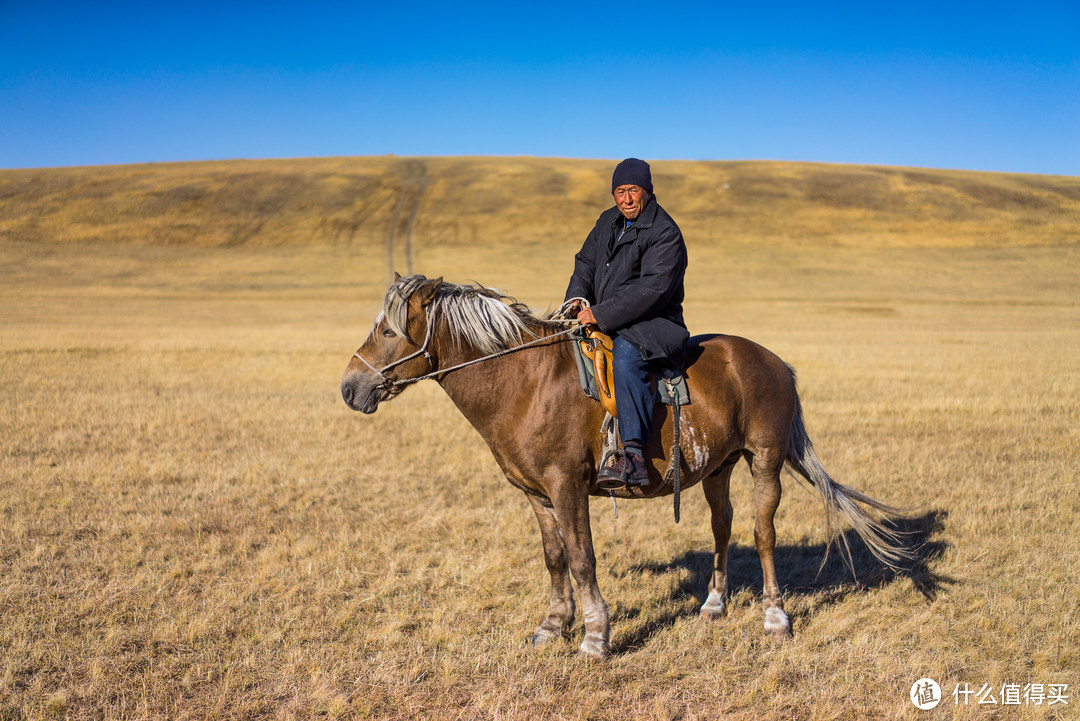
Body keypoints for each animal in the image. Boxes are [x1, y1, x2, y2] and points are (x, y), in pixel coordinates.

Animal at [341, 276, 907, 660]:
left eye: (389, 330)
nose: (350, 388)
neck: (525, 382)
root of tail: (774, 362)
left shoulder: (567, 486)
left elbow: (582, 558)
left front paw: (595, 636)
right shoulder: (536, 494)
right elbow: (554, 558)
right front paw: (552, 626)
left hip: (763, 460)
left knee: (763, 532)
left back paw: (774, 617)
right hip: (718, 467)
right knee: (722, 528)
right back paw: (714, 604)